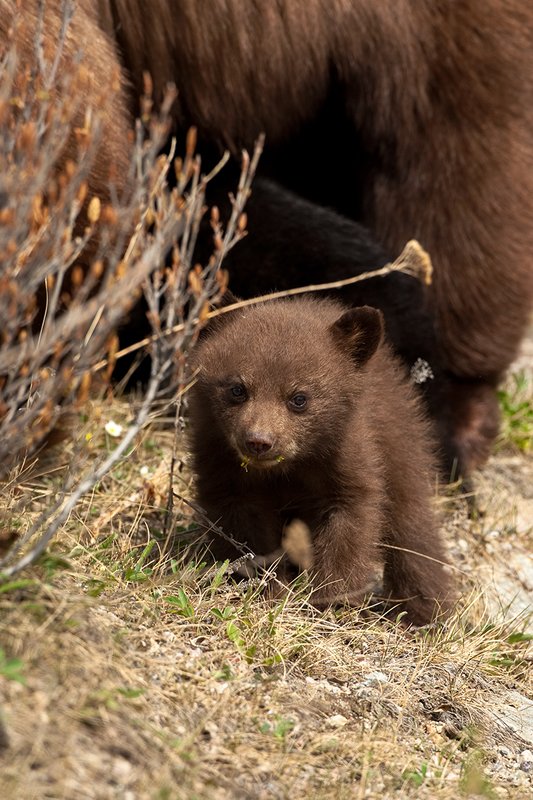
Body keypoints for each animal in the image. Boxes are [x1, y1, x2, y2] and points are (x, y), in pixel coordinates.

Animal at [187, 296, 453, 626]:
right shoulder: (219, 457)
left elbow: (349, 519)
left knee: (412, 530)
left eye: (299, 398)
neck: (289, 467)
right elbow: (240, 522)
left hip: (400, 448)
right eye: (238, 389)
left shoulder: (348, 455)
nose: (259, 441)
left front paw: (330, 598)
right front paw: (267, 585)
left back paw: (426, 612)